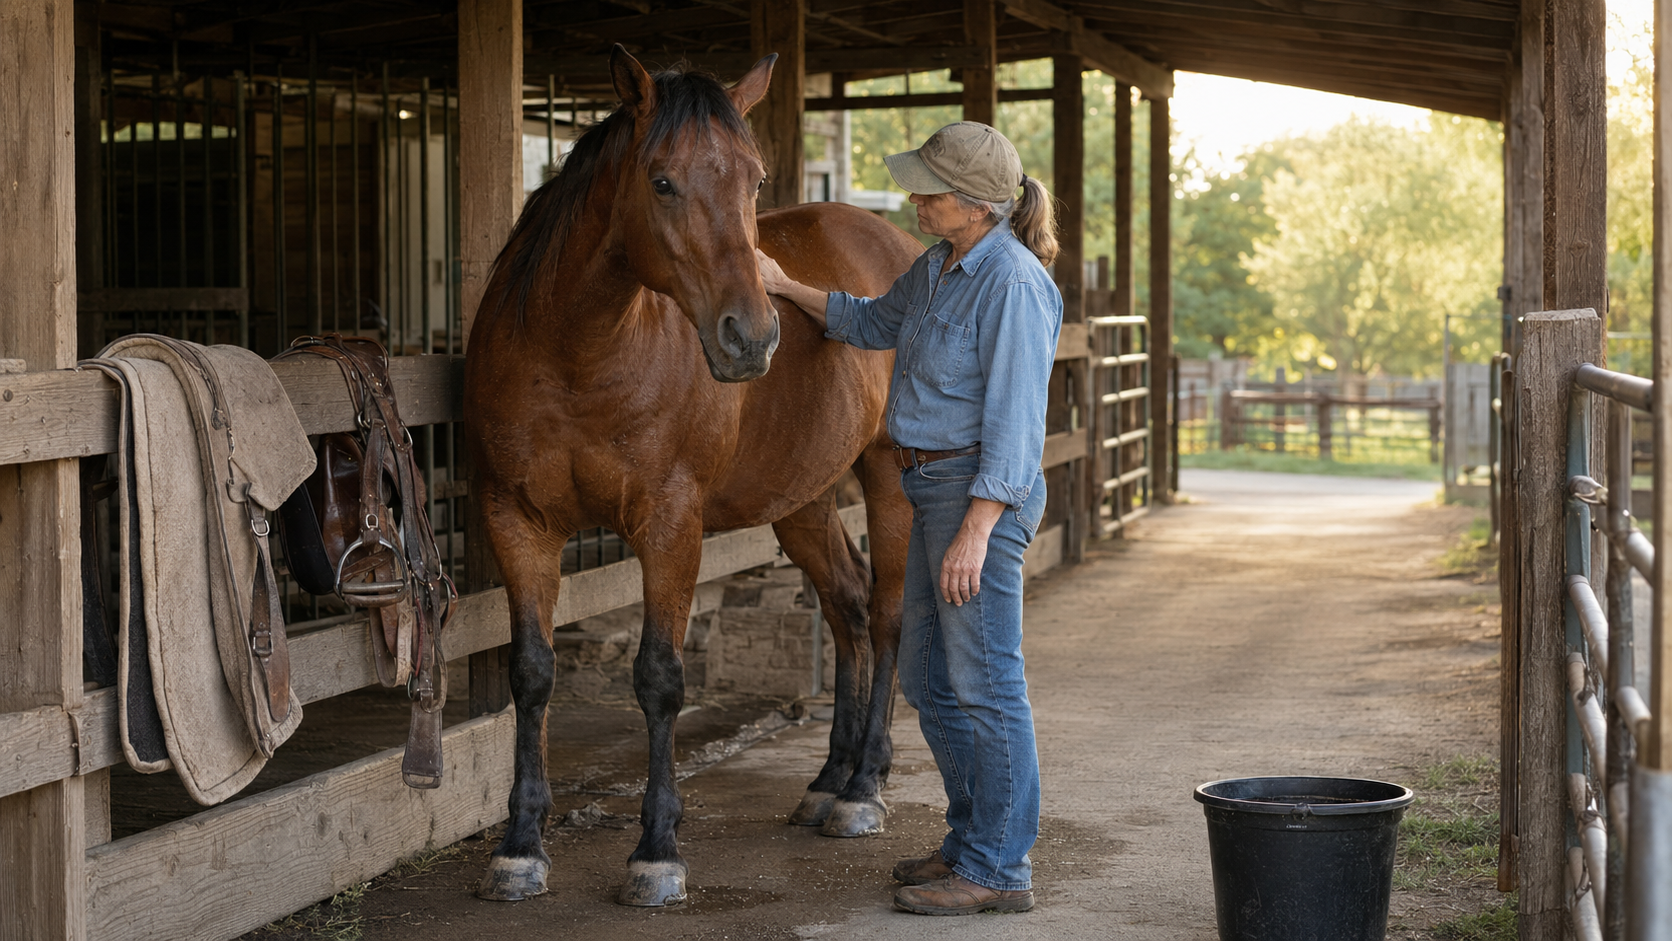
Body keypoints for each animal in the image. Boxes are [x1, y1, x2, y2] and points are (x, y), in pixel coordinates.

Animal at [462, 46, 923, 907]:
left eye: (753, 178)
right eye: (663, 181)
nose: (751, 336)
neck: (576, 356)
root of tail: (904, 247)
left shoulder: (670, 524)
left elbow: (660, 677)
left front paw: (657, 850)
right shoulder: (518, 521)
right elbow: (532, 674)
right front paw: (519, 846)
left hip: (888, 477)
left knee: (885, 614)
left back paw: (862, 789)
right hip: (803, 498)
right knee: (845, 604)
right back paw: (827, 779)